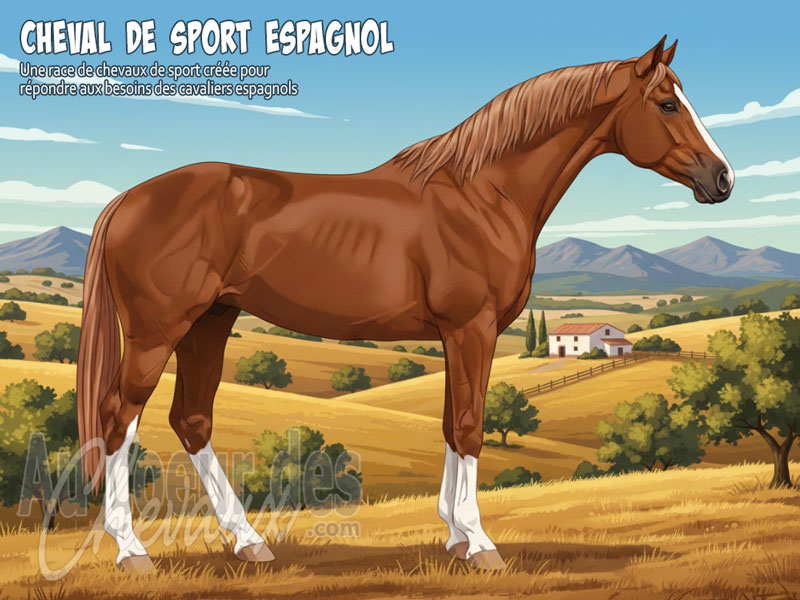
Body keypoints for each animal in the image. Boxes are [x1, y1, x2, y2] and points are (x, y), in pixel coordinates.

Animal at [77, 36, 733, 572]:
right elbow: (469, 427)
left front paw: (455, 538)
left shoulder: (454, 334)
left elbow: (449, 425)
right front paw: (481, 544)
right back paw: (133, 551)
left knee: (191, 420)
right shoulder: (472, 328)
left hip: (209, 322)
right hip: (157, 331)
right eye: (667, 104)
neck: (482, 192)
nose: (722, 178)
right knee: (117, 419)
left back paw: (250, 543)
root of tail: (129, 199)